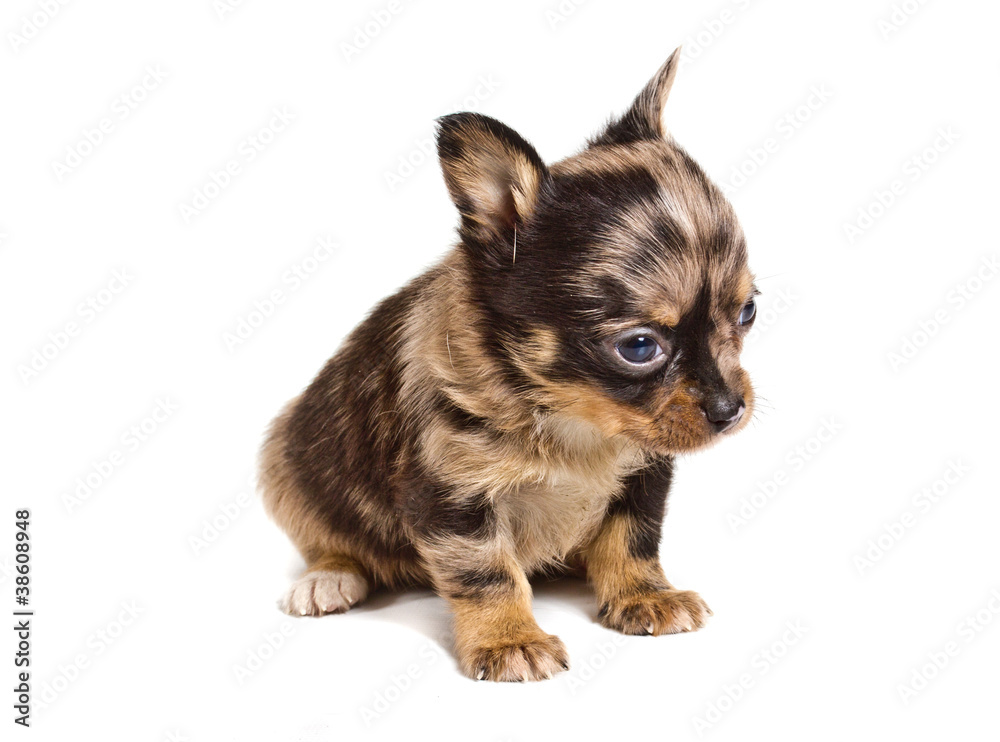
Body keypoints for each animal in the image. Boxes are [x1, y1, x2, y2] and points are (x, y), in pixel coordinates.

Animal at [262, 49, 752, 684]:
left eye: (747, 312)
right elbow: (487, 572)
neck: (571, 414)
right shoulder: (452, 491)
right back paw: (327, 578)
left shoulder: (645, 471)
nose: (731, 410)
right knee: (330, 539)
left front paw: (645, 595)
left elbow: (632, 540)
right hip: (289, 468)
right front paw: (508, 638)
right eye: (640, 348)